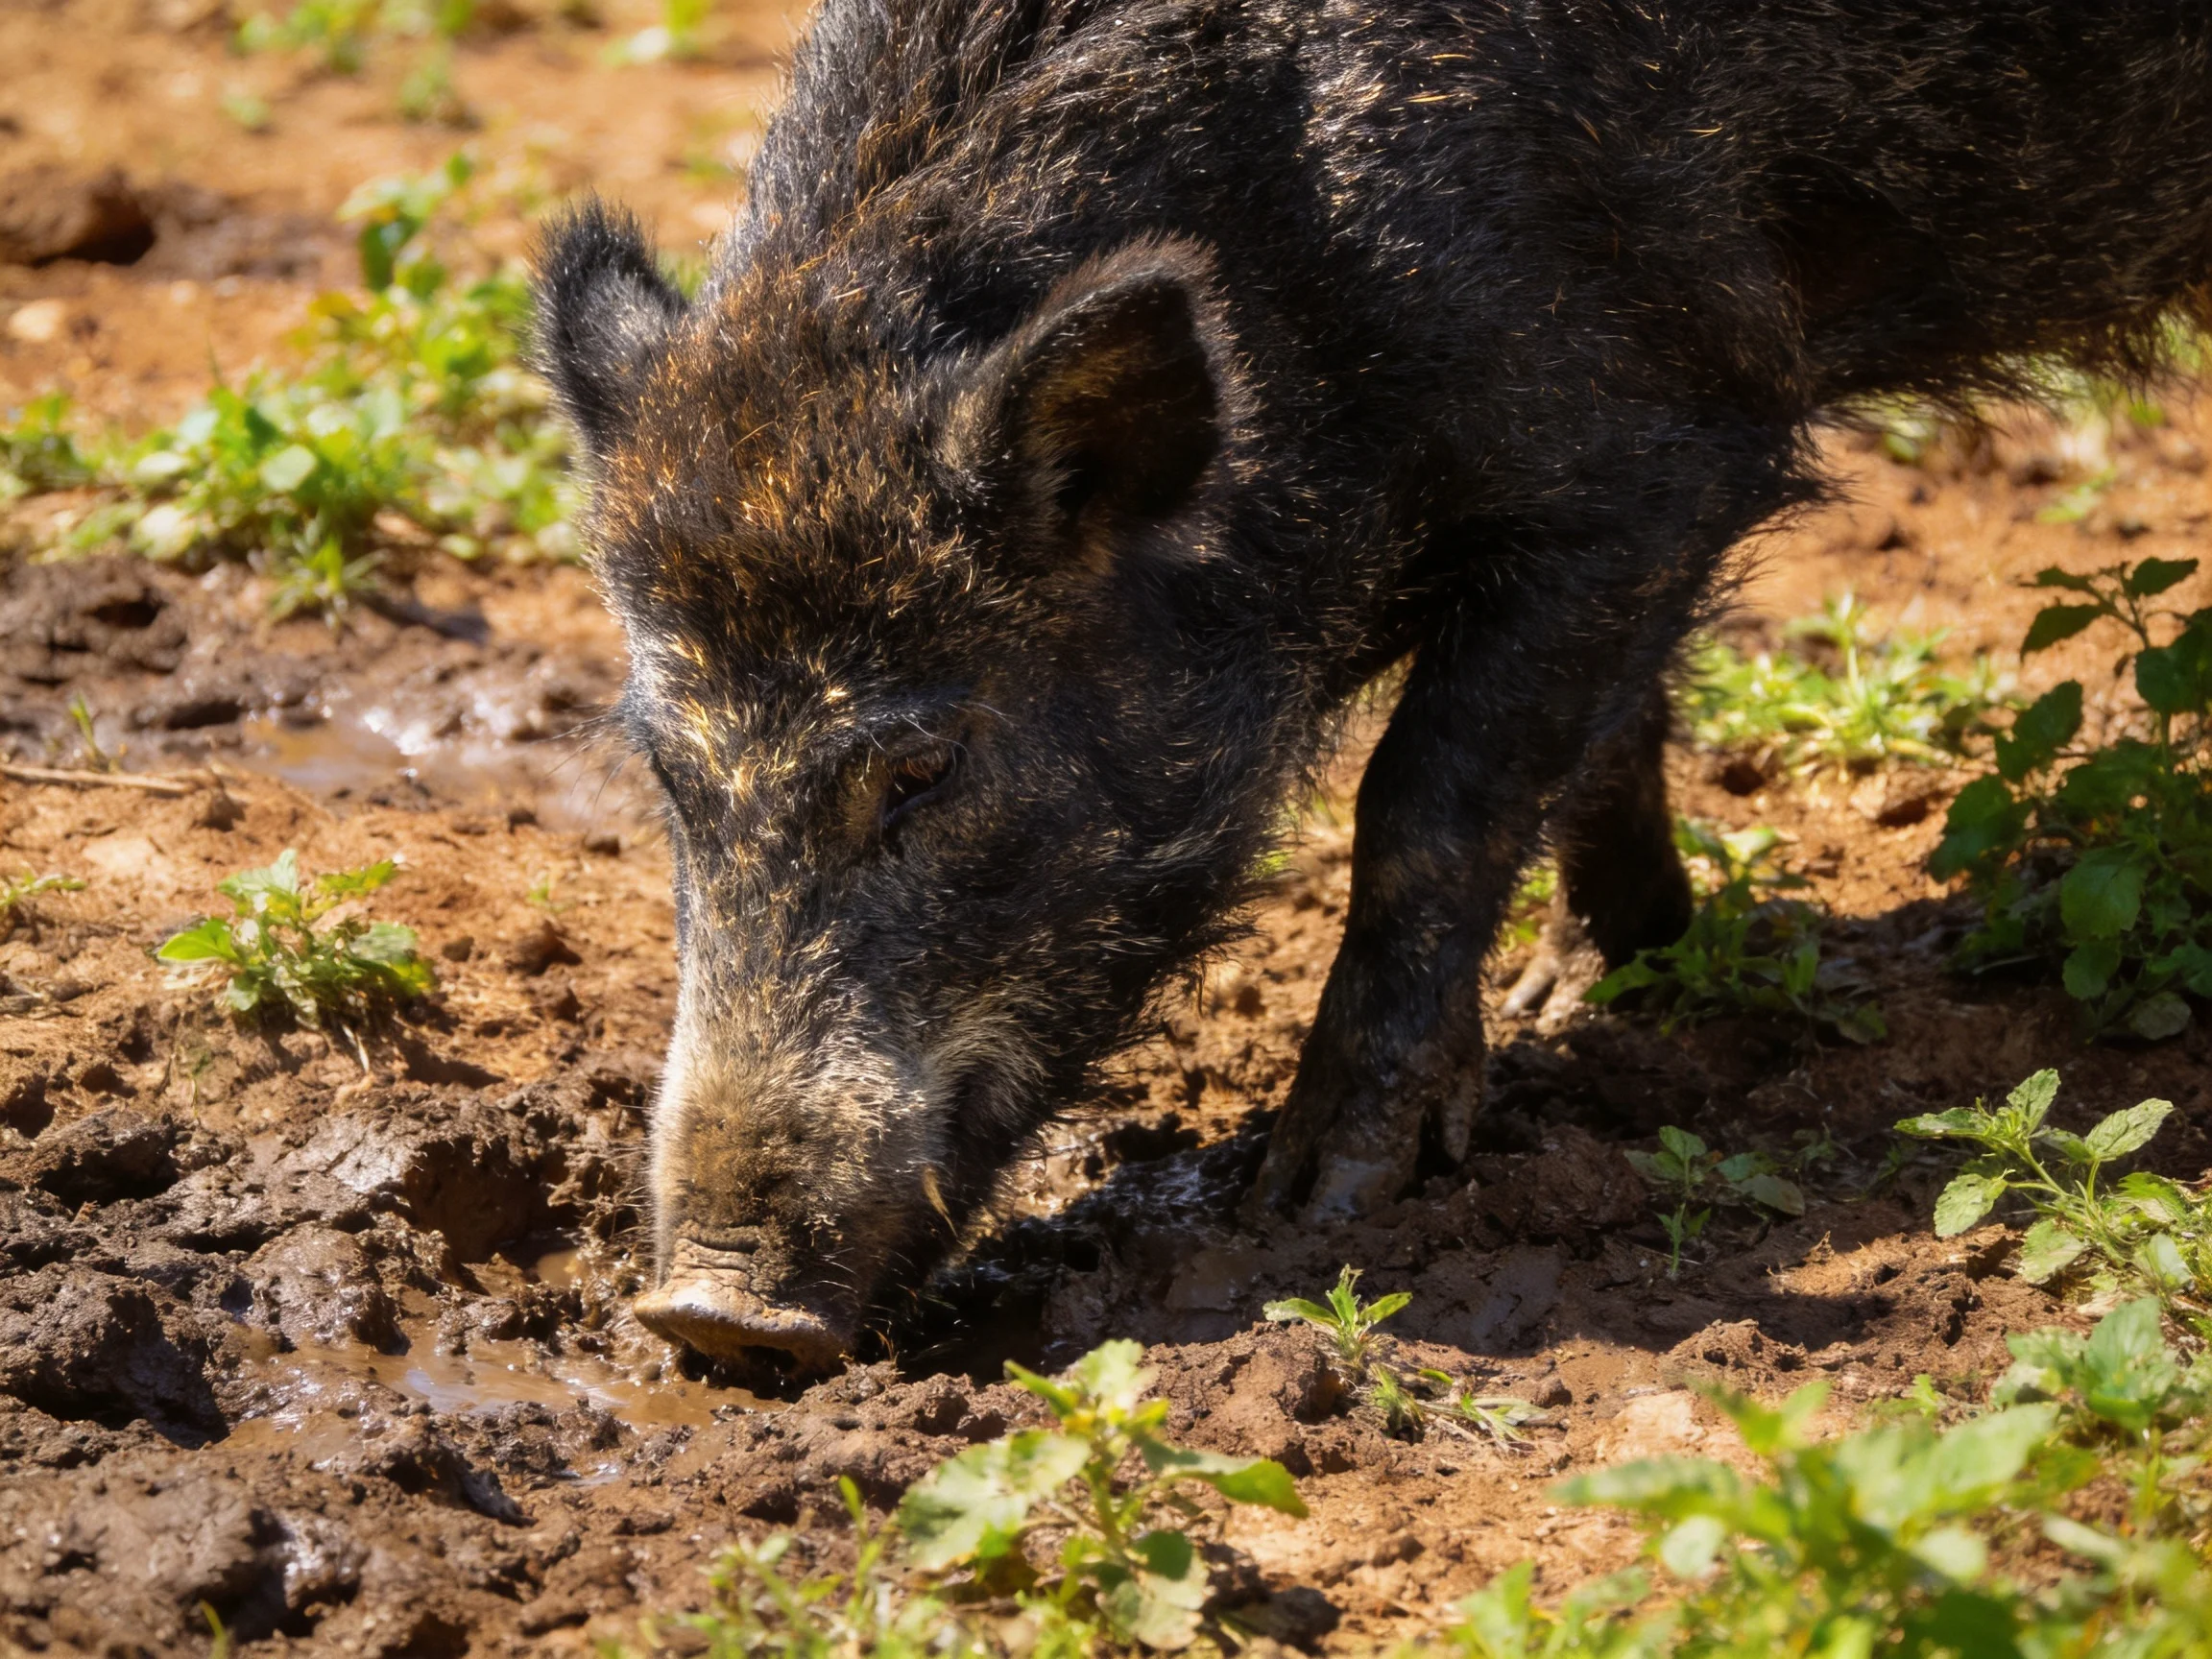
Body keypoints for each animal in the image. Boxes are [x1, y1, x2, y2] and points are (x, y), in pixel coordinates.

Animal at [535, 0, 2212, 1364]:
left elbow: (1428, 796)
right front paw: (1605, 983)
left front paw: (1316, 1202)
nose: (710, 1317)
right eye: (666, 774)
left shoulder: (1664, 445)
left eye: (926, 769)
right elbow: (1607, 737)